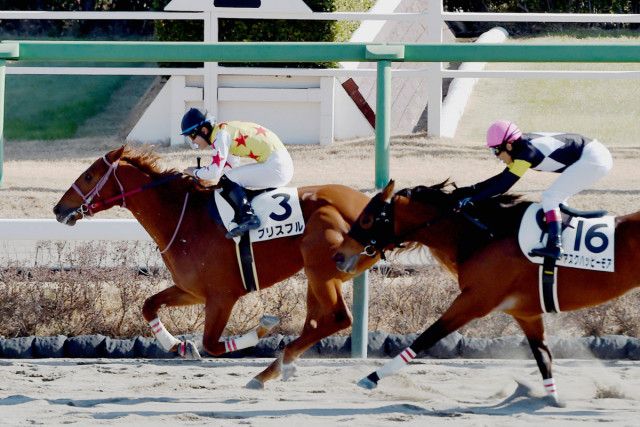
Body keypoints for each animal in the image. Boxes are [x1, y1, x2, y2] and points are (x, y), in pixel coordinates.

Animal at [53, 145, 380, 390]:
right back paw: (278, 368)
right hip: (322, 274)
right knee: (316, 324)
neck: (184, 218)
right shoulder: (192, 290)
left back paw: (269, 370)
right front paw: (179, 346)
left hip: (321, 270)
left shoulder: (222, 296)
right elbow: (149, 306)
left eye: (89, 175)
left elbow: (212, 343)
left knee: (337, 319)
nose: (58, 209)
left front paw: (260, 330)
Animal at [336, 179, 640, 406]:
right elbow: (543, 356)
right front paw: (550, 399)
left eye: (367, 219)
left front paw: (372, 376)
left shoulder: (474, 301)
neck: (484, 237)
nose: (338, 256)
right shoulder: (526, 313)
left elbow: (426, 337)